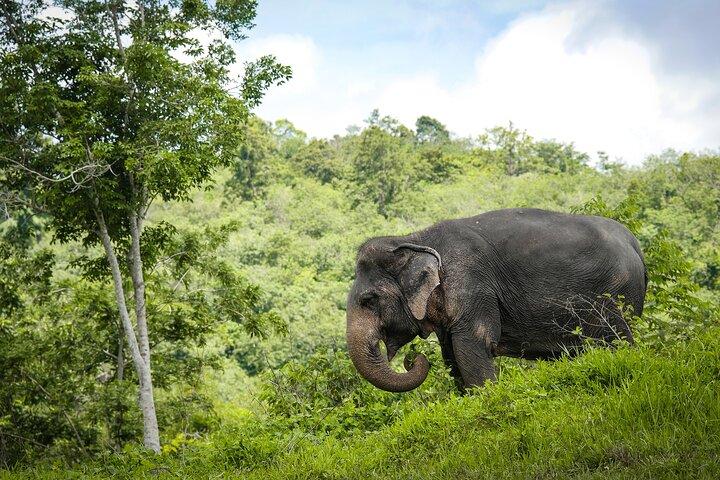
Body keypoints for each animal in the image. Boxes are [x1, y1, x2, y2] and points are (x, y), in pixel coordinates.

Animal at [346, 208, 647, 392]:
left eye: (369, 300)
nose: (412, 359)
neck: (415, 238)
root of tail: (635, 243)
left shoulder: (473, 285)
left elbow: (472, 346)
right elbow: (451, 354)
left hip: (615, 294)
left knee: (617, 341)